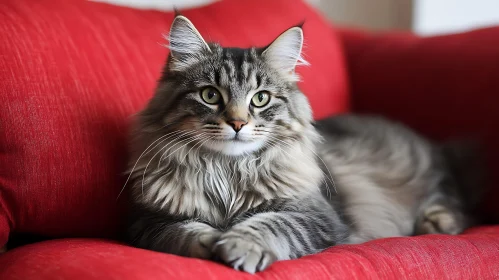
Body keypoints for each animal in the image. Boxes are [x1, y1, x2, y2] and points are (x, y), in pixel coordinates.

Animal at [126, 15, 484, 274]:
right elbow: (184, 231)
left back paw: (438, 222)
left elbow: (272, 223)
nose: (238, 124)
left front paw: (240, 246)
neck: (228, 172)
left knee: (449, 198)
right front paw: (214, 239)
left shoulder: (315, 215)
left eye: (260, 99)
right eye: (210, 95)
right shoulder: (148, 223)